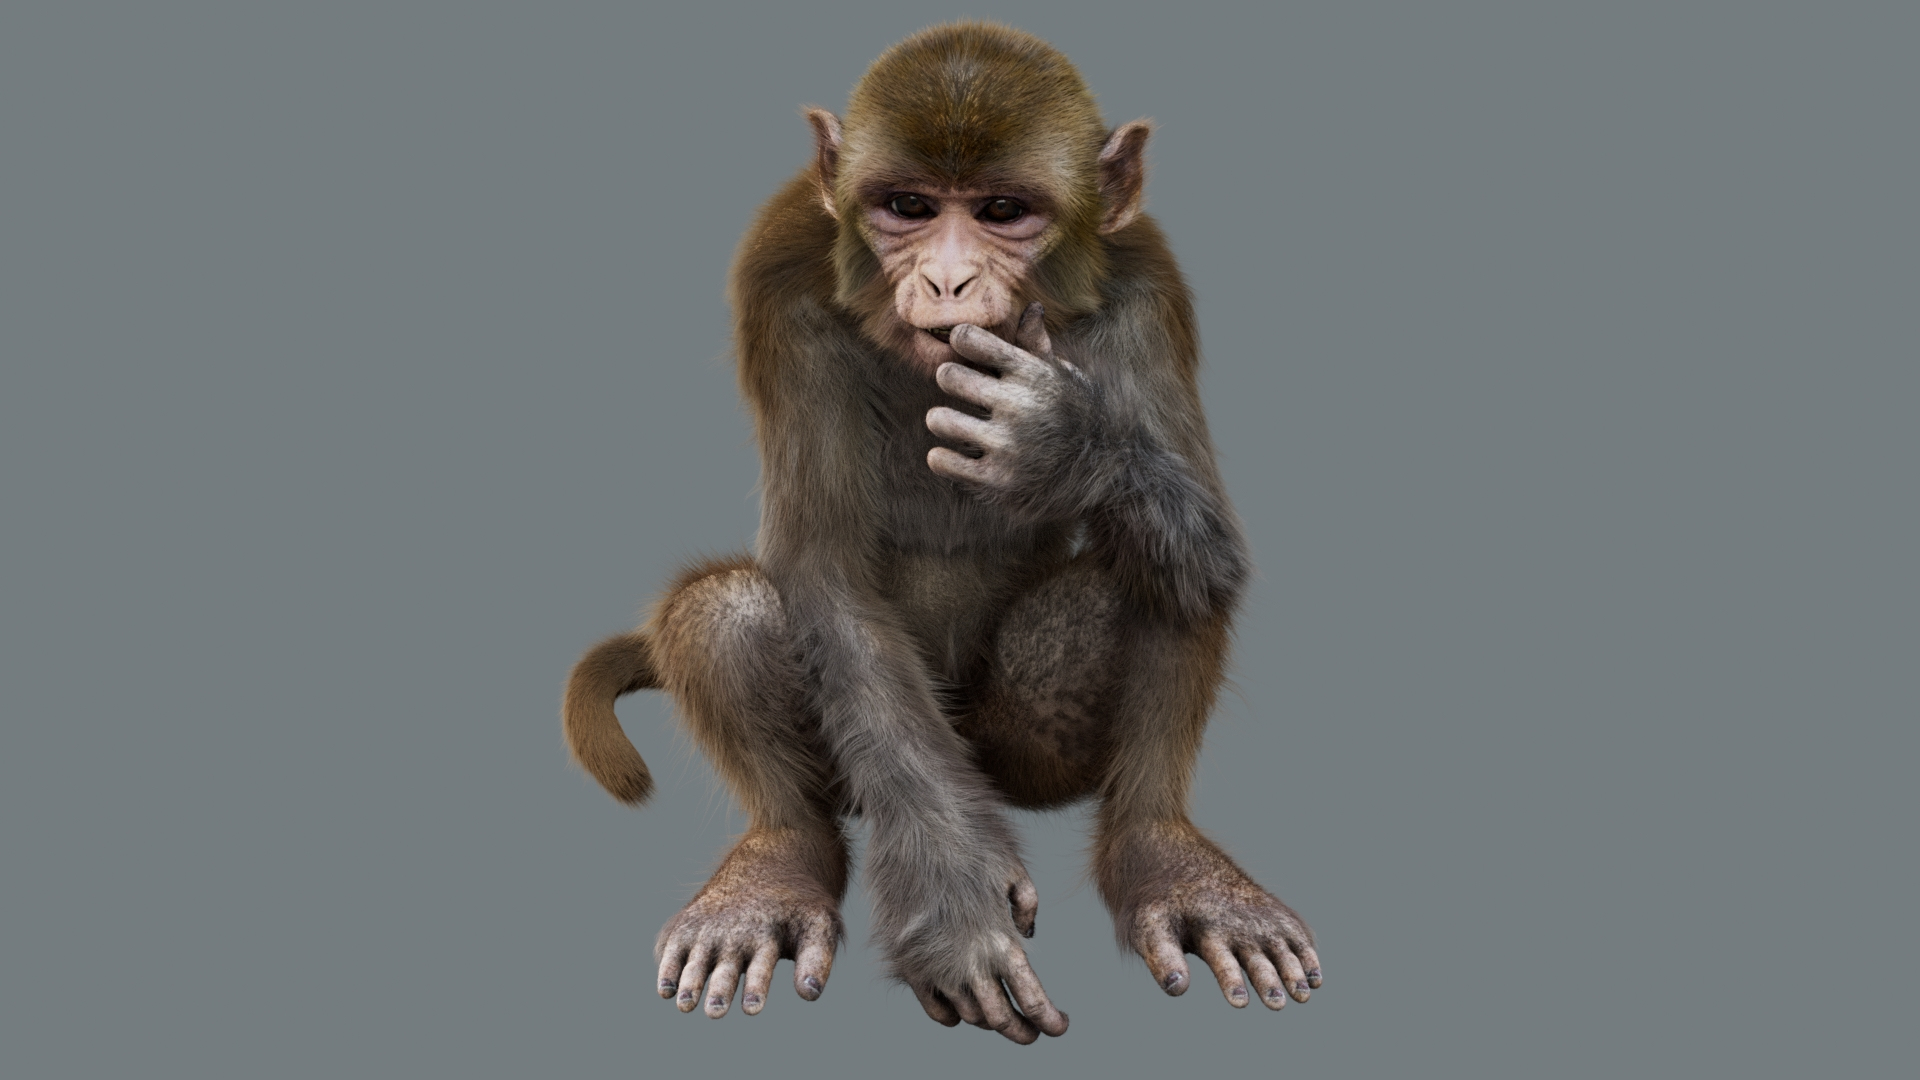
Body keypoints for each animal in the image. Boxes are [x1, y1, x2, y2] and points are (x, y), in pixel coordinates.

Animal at [563, 23, 1322, 1044]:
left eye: (1002, 211)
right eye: (909, 208)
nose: (948, 277)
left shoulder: (1146, 287)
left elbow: (1206, 551)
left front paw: (1058, 442)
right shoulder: (780, 281)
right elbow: (828, 579)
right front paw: (959, 918)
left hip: (1023, 753)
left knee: (1141, 576)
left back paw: (1163, 857)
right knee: (726, 607)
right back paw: (780, 865)